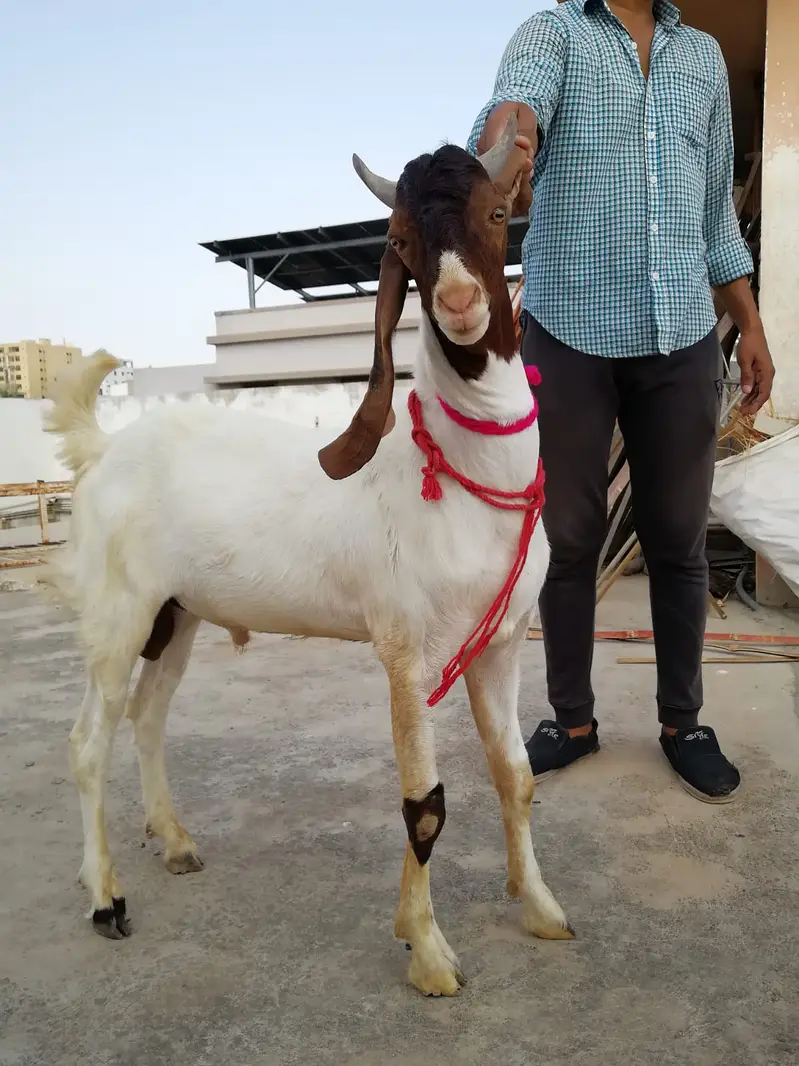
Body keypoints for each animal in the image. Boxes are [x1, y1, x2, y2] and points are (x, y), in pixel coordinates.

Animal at [41, 114, 573, 996]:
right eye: (400, 239)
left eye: (499, 216)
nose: (460, 303)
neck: (454, 474)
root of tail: (104, 447)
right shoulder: (406, 651)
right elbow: (424, 804)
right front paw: (428, 954)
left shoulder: (501, 644)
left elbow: (516, 775)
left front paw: (538, 907)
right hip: (120, 611)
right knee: (90, 741)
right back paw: (105, 898)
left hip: (176, 614)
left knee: (149, 717)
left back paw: (174, 840)